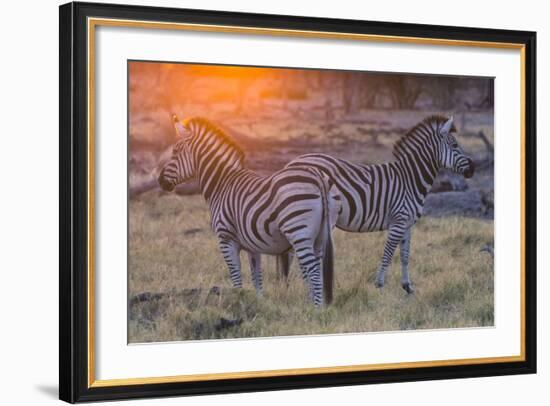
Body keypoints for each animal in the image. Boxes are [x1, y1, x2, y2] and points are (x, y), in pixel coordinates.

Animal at [157, 116, 342, 306]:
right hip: (320, 234)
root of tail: (317, 176)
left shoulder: (226, 239)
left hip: (298, 231)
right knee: (317, 267)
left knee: (313, 271)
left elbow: (236, 276)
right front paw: (259, 303)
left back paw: (316, 308)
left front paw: (239, 301)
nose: (160, 181)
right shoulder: (253, 246)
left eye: (175, 152)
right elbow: (257, 278)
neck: (222, 184)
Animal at [282, 116, 476, 294]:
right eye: (454, 145)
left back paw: (291, 284)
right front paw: (380, 285)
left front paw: (407, 286)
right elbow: (388, 253)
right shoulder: (398, 221)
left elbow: (405, 255)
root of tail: (292, 163)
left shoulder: (407, 223)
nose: (473, 169)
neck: (410, 179)